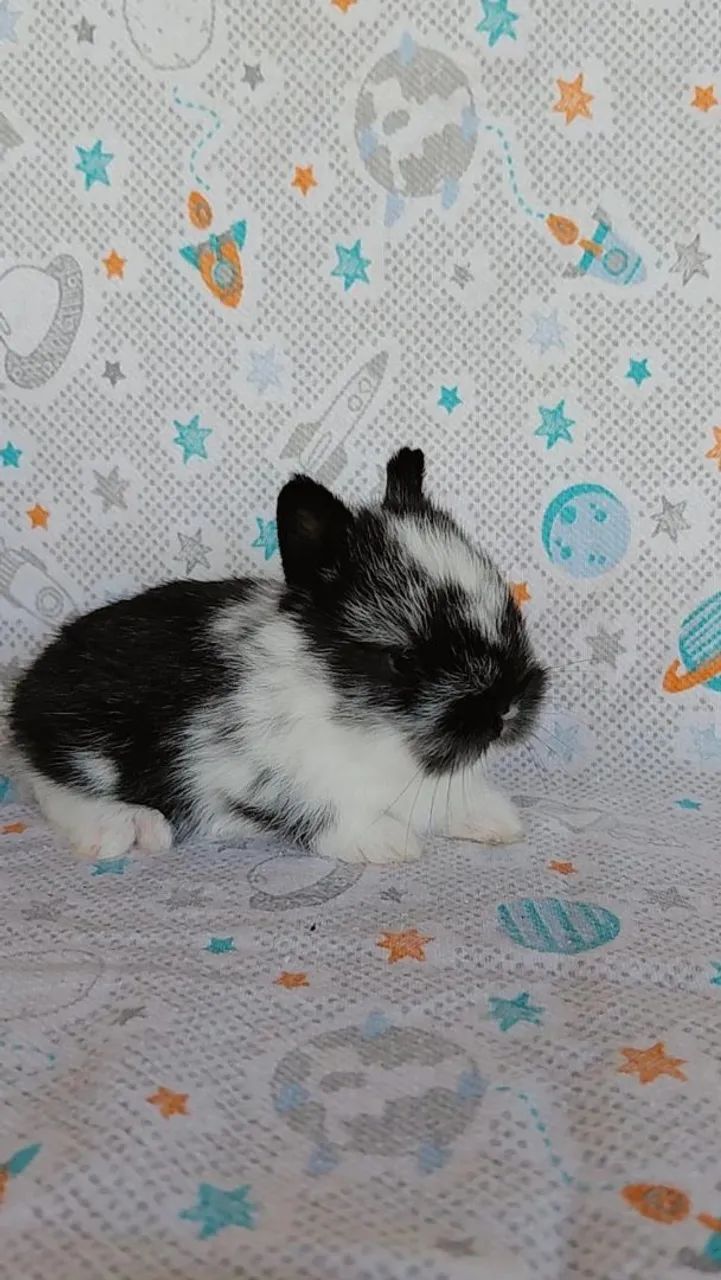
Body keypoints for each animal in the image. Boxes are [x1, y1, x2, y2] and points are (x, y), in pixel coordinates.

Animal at [8, 448, 547, 864]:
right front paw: (389, 844)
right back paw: (127, 828)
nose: (506, 708)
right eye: (403, 661)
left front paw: (495, 819)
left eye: (509, 612)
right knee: (54, 788)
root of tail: (27, 689)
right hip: (84, 748)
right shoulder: (253, 770)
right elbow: (328, 812)